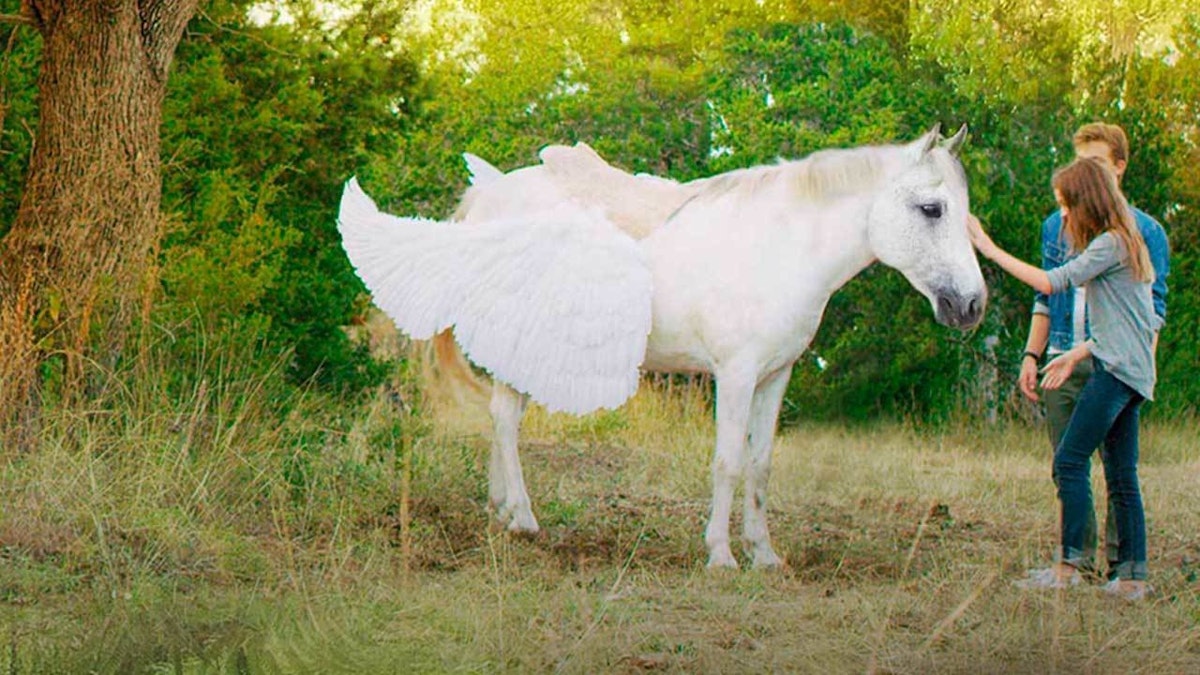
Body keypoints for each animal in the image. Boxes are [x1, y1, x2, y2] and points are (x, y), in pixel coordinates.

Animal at [337, 125, 986, 569]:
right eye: (932, 209)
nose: (972, 305)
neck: (778, 248)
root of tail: (487, 200)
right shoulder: (736, 374)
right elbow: (727, 462)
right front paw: (721, 555)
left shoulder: (776, 376)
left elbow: (761, 465)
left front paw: (765, 555)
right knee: (503, 420)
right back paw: (523, 518)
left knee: (503, 422)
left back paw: (502, 512)